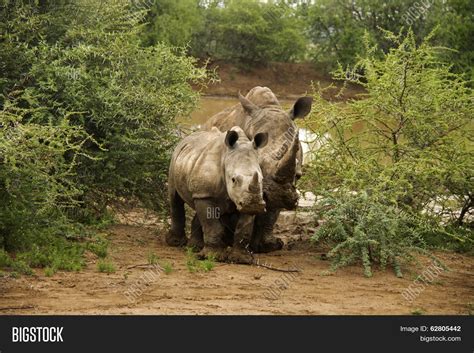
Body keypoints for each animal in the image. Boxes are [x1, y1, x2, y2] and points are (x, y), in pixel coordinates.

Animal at [167, 125, 268, 260]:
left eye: (262, 179)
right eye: (233, 180)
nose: (254, 205)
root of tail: (186, 139)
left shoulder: (245, 198)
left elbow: (243, 228)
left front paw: (241, 259)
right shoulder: (205, 193)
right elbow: (212, 225)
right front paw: (212, 257)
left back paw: (194, 248)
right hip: (175, 161)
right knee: (175, 198)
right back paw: (176, 243)